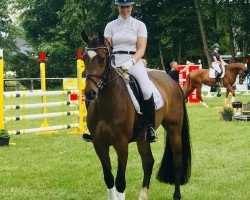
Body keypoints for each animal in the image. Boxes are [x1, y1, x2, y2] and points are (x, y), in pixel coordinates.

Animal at [81, 31, 190, 200]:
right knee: (148, 162)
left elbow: (120, 182)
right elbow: (109, 179)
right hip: (142, 136)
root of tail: (172, 82)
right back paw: (143, 195)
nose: (90, 93)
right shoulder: (99, 144)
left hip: (174, 128)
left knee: (177, 161)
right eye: (84, 59)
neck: (107, 104)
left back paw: (176, 195)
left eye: (102, 59)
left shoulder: (121, 144)